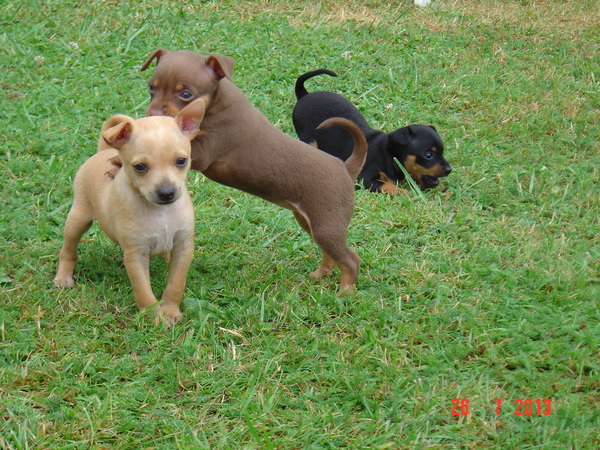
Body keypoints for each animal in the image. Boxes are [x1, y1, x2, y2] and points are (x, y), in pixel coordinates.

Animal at [54, 97, 209, 324]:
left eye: (182, 161)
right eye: (140, 167)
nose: (167, 193)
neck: (160, 212)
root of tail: (103, 151)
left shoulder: (183, 246)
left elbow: (176, 283)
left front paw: (170, 310)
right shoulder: (135, 255)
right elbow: (144, 291)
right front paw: (155, 318)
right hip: (78, 218)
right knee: (68, 249)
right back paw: (63, 276)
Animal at [142, 50, 366, 296]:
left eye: (185, 94)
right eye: (151, 88)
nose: (152, 115)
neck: (217, 103)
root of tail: (346, 167)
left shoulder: (206, 150)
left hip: (327, 225)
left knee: (351, 260)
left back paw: (345, 292)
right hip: (311, 223)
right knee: (330, 253)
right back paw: (321, 274)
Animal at [290, 69, 450, 192]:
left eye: (442, 151)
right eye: (428, 155)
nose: (449, 169)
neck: (389, 154)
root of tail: (304, 94)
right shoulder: (364, 178)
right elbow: (389, 186)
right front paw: (406, 194)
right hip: (309, 140)